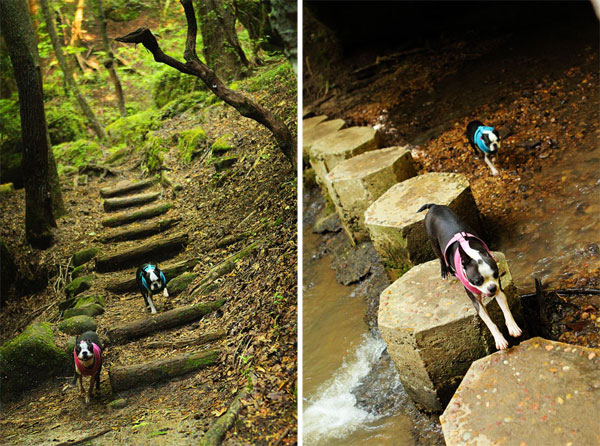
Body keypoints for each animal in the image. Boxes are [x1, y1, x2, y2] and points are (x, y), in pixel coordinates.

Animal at [418, 204, 520, 350]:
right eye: (477, 281)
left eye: (495, 274)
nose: (492, 288)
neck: (471, 253)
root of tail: (434, 206)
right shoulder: (477, 303)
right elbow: (490, 323)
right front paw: (499, 339)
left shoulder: (499, 291)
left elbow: (506, 310)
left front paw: (513, 327)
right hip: (433, 241)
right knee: (441, 257)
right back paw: (445, 271)